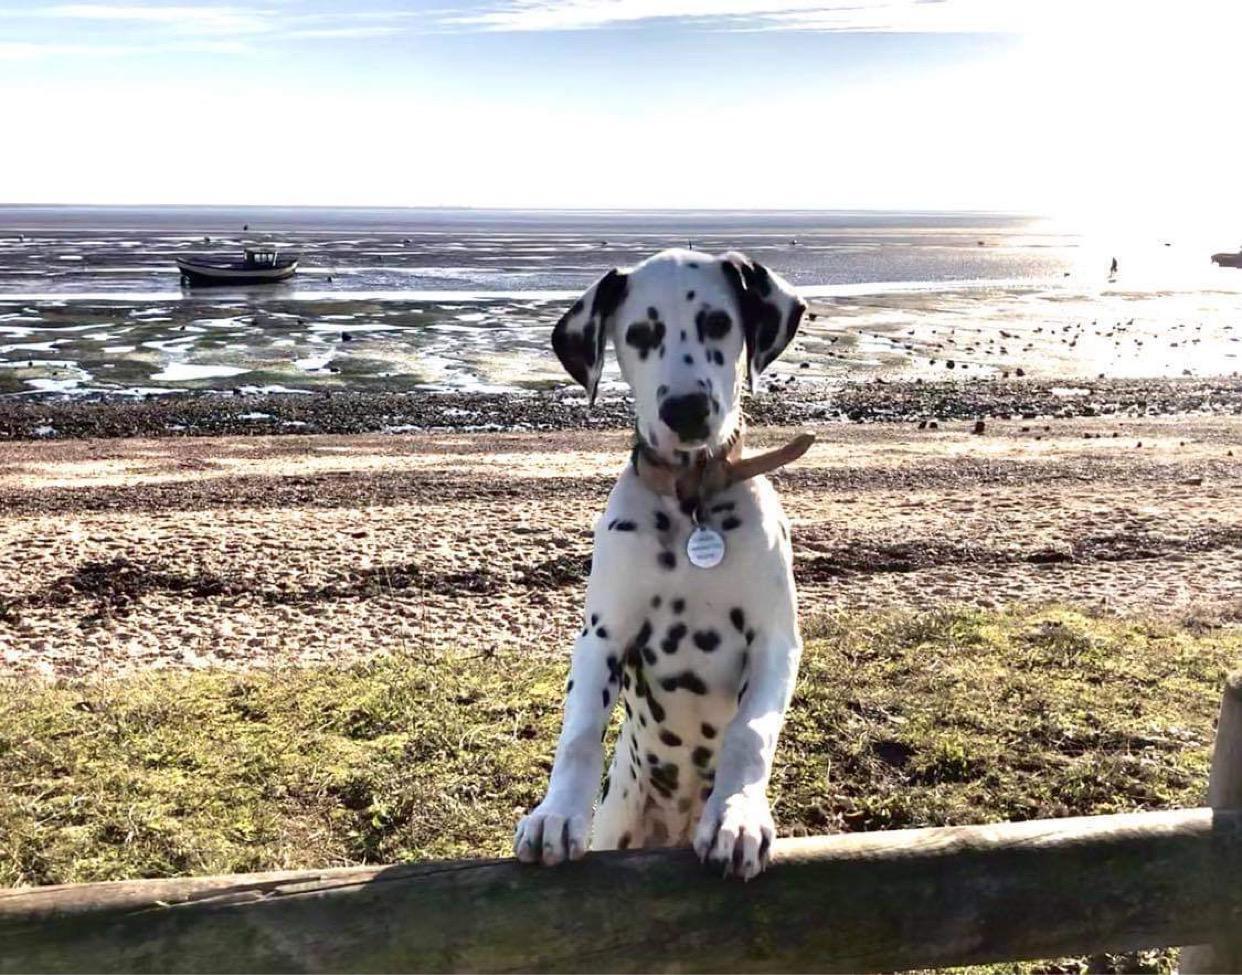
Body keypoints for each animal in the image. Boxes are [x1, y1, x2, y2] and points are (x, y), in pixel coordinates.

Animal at [511, 247, 804, 879]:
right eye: (640, 334)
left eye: (718, 322)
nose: (687, 409)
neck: (690, 499)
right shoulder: (603, 636)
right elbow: (579, 731)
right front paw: (556, 814)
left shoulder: (776, 641)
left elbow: (750, 733)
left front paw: (737, 816)